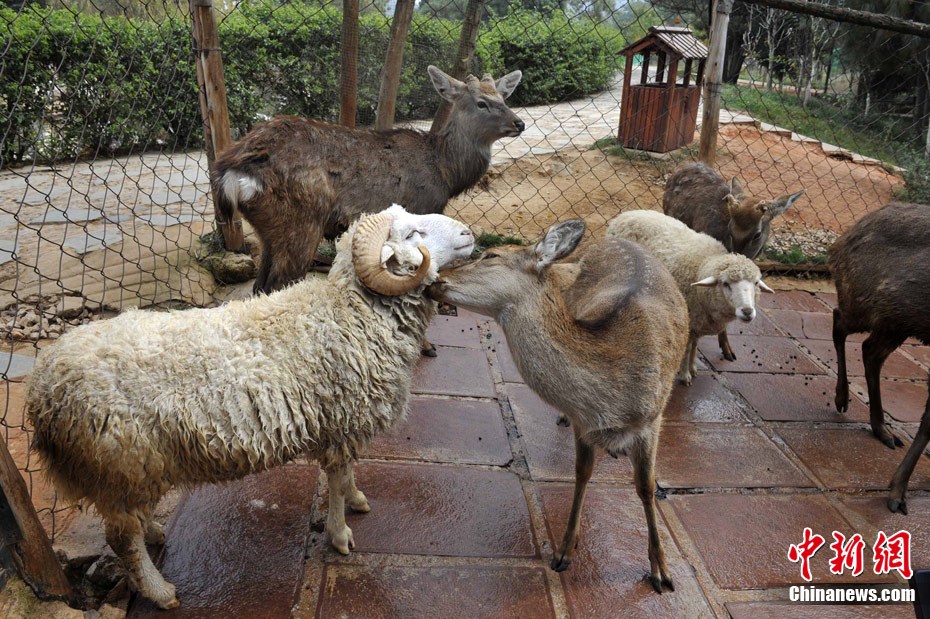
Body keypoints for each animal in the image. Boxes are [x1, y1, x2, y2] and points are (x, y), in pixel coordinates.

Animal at [25, 204, 475, 609]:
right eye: (412, 233)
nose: (469, 233)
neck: (348, 313)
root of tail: (44, 386)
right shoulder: (341, 423)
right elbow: (335, 481)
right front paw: (340, 534)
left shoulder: (342, 426)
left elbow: (347, 475)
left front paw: (356, 498)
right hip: (123, 463)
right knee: (121, 539)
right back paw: (160, 592)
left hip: (129, 472)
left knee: (130, 527)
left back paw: (153, 532)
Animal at [214, 65, 524, 297]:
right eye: (482, 103)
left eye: (504, 98)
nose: (519, 123)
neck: (445, 173)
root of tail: (232, 171)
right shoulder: (420, 208)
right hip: (301, 222)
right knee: (278, 284)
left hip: (269, 231)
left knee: (259, 287)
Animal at [428, 220, 688, 592]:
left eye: (491, 255)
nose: (435, 280)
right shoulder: (584, 424)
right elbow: (581, 473)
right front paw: (564, 551)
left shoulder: (653, 419)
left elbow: (646, 486)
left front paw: (662, 572)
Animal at [607, 210, 773, 386]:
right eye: (726, 284)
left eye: (756, 283)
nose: (747, 311)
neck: (703, 264)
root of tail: (627, 214)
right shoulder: (689, 318)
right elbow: (687, 349)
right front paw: (685, 374)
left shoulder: (698, 322)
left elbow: (694, 345)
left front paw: (693, 368)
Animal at [829, 202, 930, 514]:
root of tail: (841, 241)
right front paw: (897, 492)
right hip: (868, 304)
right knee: (839, 321)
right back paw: (842, 398)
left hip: (896, 322)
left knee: (870, 351)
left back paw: (882, 428)